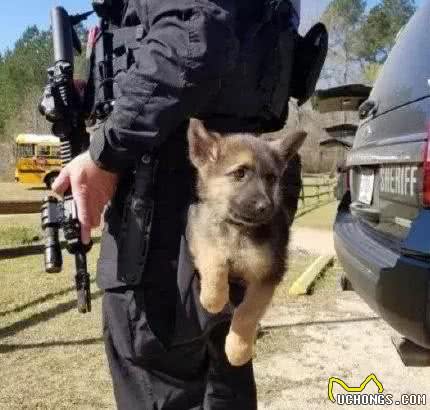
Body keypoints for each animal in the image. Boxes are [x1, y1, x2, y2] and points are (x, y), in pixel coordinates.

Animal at [186, 118, 306, 366]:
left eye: (271, 178)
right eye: (240, 173)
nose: (265, 207)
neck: (238, 231)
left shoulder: (269, 275)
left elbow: (248, 312)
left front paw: (238, 350)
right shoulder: (198, 232)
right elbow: (214, 259)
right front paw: (213, 299)